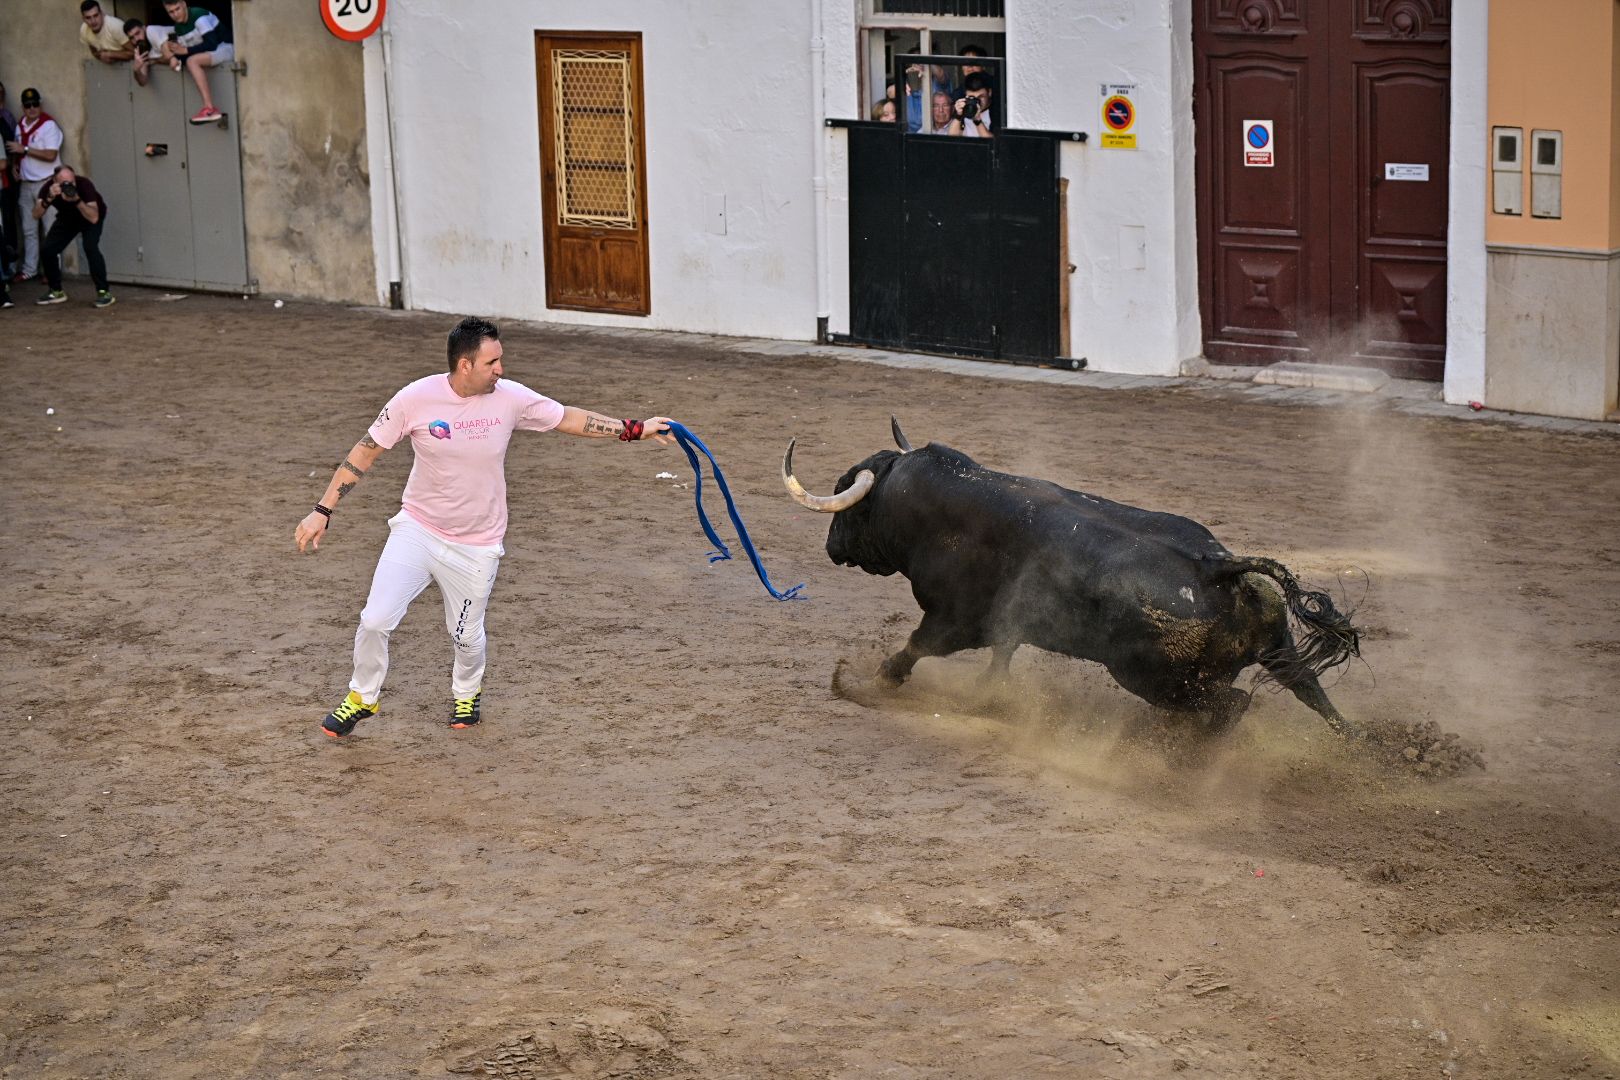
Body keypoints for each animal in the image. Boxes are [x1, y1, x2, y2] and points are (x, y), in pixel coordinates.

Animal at [777, 420, 1360, 735]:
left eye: (850, 504)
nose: (830, 547)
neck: (938, 505)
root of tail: (1216, 566)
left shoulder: (955, 621)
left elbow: (915, 647)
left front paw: (871, 681)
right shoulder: (1004, 629)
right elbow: (1000, 661)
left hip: (1155, 678)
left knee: (1232, 707)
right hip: (1278, 651)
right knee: (1314, 696)